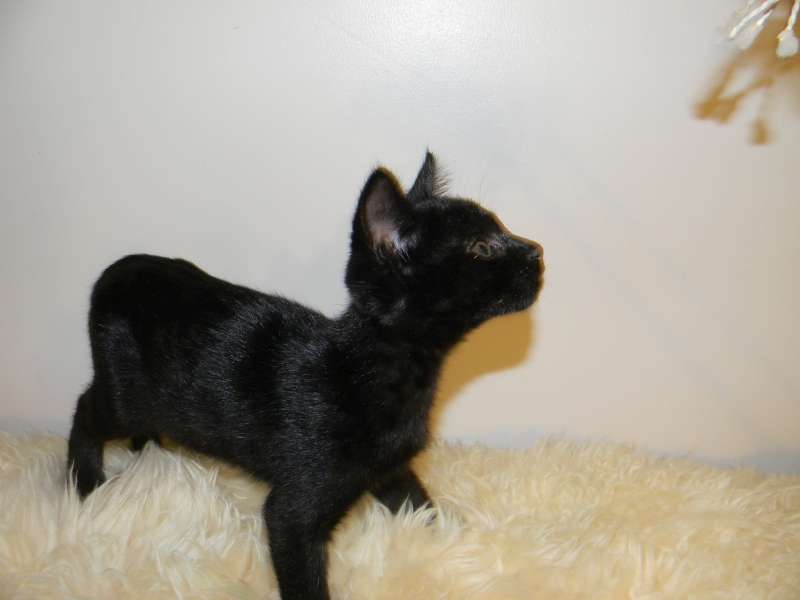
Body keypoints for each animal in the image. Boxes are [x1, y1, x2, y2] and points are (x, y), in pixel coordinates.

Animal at [66, 152, 544, 600]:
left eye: (501, 229)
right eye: (482, 248)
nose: (537, 250)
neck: (390, 372)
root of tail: (117, 270)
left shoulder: (390, 468)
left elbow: (420, 505)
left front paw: (460, 545)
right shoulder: (292, 514)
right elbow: (305, 581)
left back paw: (151, 457)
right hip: (126, 397)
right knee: (85, 408)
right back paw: (85, 485)